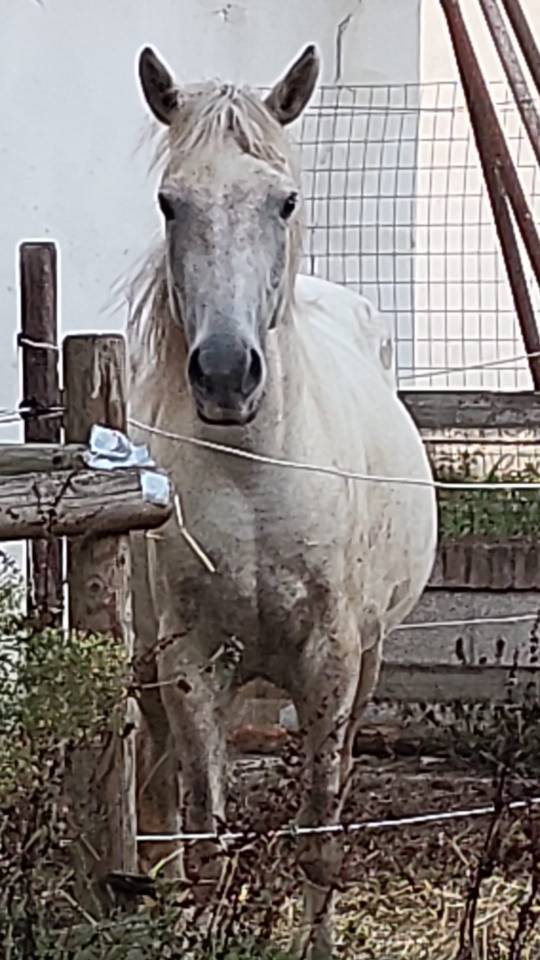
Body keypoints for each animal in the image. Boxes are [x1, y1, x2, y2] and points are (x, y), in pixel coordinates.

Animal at [127, 42, 437, 959]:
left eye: (285, 201)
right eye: (170, 202)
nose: (227, 374)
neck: (254, 481)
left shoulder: (331, 665)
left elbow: (319, 837)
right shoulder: (190, 666)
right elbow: (203, 843)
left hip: (368, 661)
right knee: (157, 804)